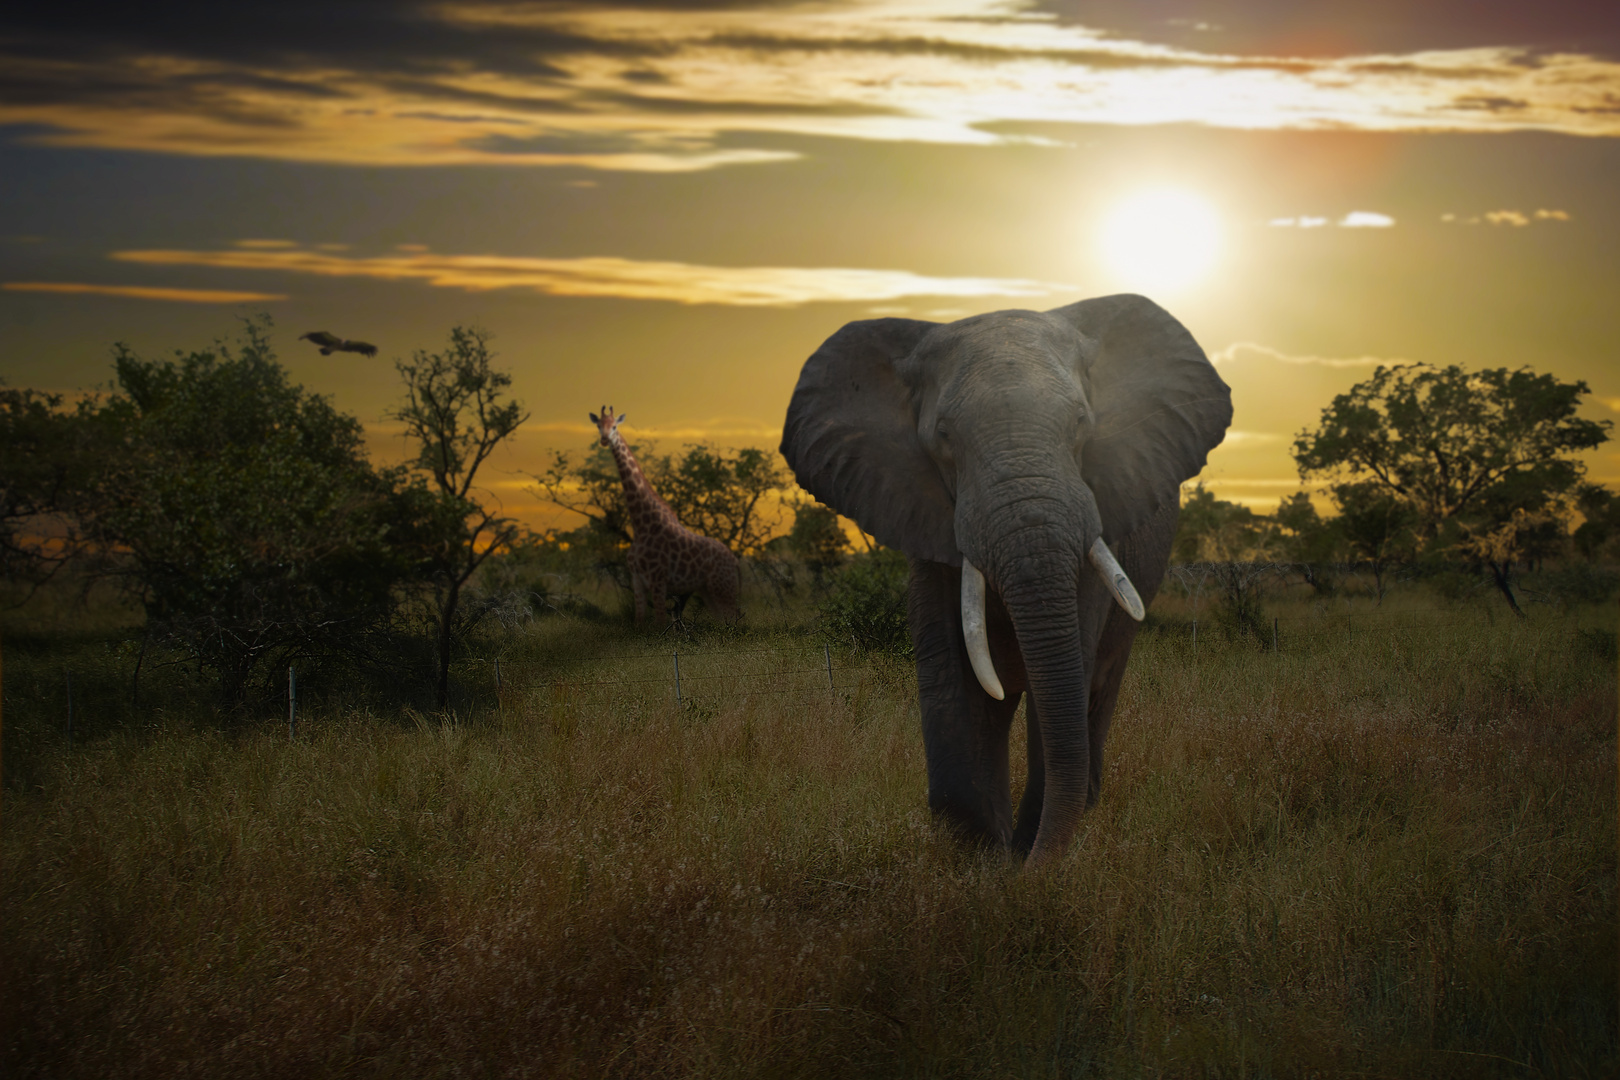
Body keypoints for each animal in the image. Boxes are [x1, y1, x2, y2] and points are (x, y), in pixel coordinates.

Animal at [596, 408, 745, 628]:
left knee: (735, 620)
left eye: (614, 426)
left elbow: (659, 623)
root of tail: (735, 561)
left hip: (723, 588)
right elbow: (639, 622)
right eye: (599, 425)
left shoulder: (658, 580)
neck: (642, 525)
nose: (605, 439)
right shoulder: (637, 580)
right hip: (709, 591)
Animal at [780, 293, 1224, 867]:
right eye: (943, 438)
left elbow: (1065, 679)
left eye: (1081, 423)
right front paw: (985, 865)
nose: (1030, 870)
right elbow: (957, 677)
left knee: (1099, 682)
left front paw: (1027, 855)